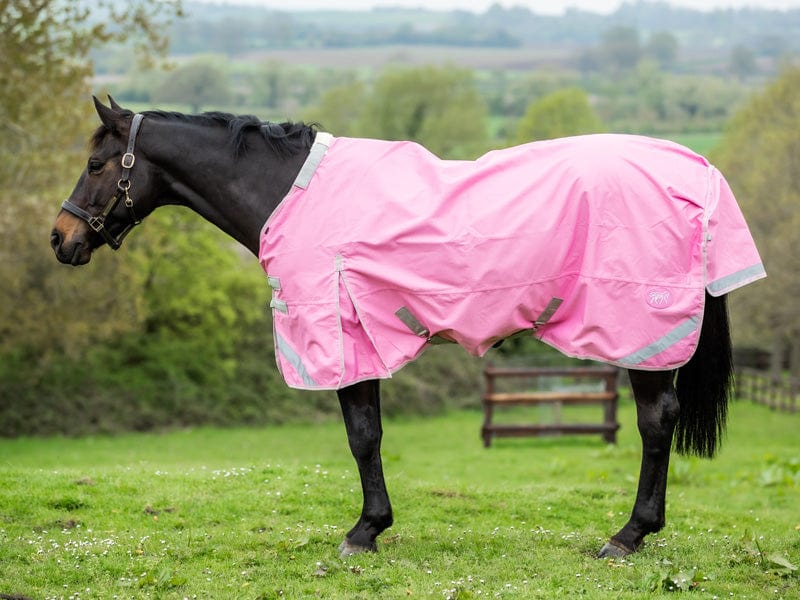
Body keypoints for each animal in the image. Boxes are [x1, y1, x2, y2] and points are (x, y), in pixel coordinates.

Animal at [51, 97, 765, 559]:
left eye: (96, 166)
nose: (60, 240)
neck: (290, 193)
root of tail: (696, 169)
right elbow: (369, 435)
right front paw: (374, 525)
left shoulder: (341, 335)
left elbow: (362, 437)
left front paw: (364, 532)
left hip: (642, 332)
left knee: (656, 422)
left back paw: (628, 536)